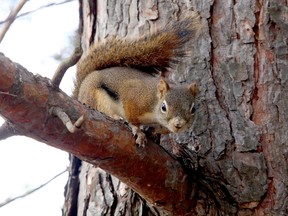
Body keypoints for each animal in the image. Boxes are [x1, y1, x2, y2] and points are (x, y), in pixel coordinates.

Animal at [74, 15, 200, 147]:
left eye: (193, 109)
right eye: (164, 107)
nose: (178, 125)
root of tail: (81, 90)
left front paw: (153, 133)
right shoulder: (134, 97)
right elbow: (132, 118)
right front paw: (138, 131)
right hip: (96, 97)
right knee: (102, 109)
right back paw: (116, 117)